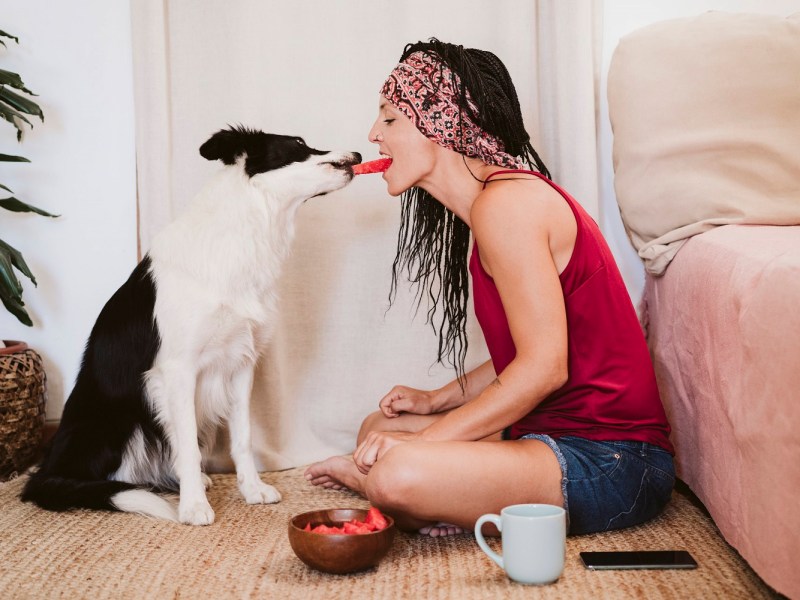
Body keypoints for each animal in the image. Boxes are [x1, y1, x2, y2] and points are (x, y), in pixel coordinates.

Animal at [21, 125, 362, 524]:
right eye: (297, 146)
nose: (357, 155)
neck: (241, 234)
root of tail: (46, 468)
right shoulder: (178, 370)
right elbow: (187, 445)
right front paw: (193, 505)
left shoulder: (242, 365)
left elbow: (243, 438)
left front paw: (252, 490)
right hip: (116, 422)